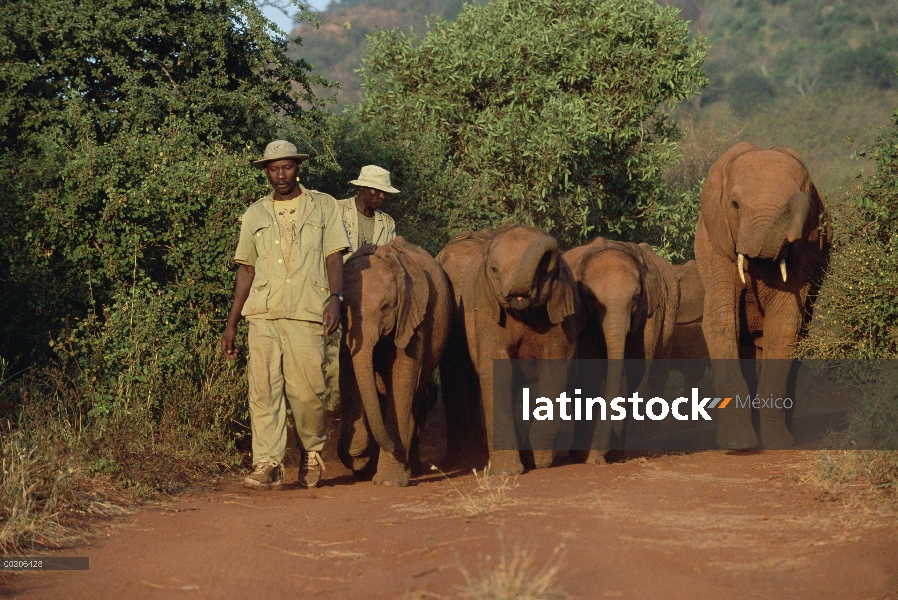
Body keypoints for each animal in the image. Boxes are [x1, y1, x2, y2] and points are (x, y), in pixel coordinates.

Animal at [336, 237, 448, 486]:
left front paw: (388, 481)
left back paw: (411, 468)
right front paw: (358, 453)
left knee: (415, 395)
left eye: (385, 307)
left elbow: (401, 377)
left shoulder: (413, 318)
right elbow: (348, 372)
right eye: (343, 308)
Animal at [436, 223, 576, 476]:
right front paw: (506, 472)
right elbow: (495, 370)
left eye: (544, 269)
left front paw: (536, 461)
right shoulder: (484, 311)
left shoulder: (560, 318)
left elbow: (555, 370)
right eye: (494, 269)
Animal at [564, 237, 676, 462]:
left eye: (635, 297)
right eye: (590, 297)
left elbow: (633, 367)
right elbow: (590, 370)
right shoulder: (580, 315)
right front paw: (590, 457)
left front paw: (611, 454)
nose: (602, 454)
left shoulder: (650, 311)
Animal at [696, 143, 828, 448]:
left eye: (806, 212)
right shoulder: (719, 245)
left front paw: (777, 443)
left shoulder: (806, 255)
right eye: (735, 205)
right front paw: (739, 445)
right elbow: (721, 321)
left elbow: (784, 327)